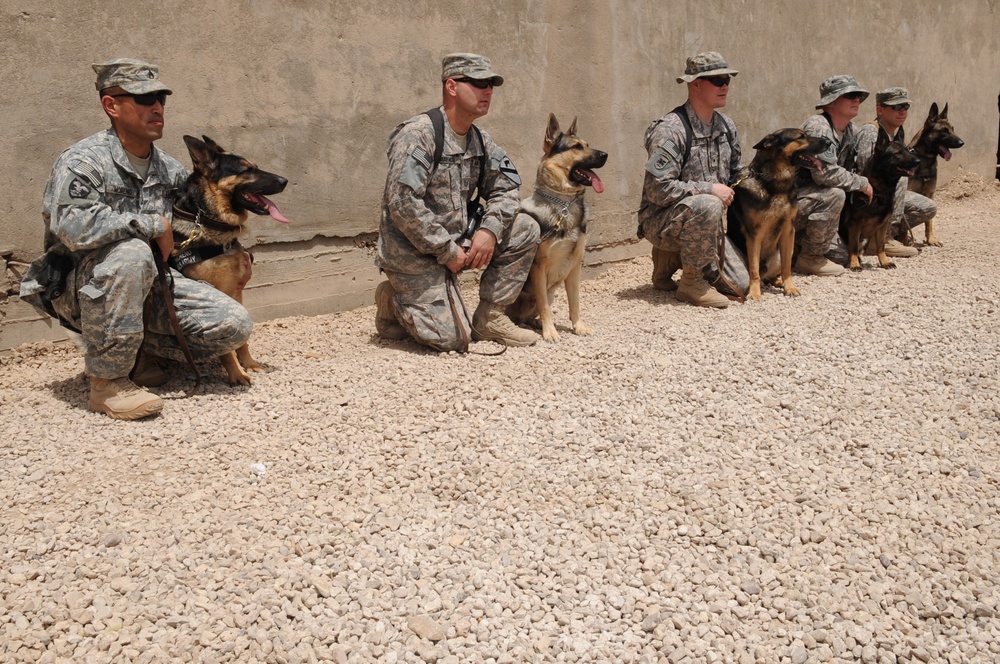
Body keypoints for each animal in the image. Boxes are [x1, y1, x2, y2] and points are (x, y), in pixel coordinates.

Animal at [171, 135, 290, 384]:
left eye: (255, 166)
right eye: (246, 170)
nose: (285, 180)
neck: (207, 220)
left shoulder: (237, 293)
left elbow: (243, 340)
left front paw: (250, 364)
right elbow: (227, 347)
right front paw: (236, 373)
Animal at [508, 113, 608, 340]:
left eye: (587, 144)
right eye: (576, 147)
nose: (605, 154)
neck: (564, 204)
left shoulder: (575, 266)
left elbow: (575, 302)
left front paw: (579, 327)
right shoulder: (539, 267)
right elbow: (545, 306)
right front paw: (550, 332)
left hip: (551, 291)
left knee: (527, 316)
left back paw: (534, 323)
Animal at [724, 130, 832, 300]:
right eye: (800, 137)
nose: (829, 142)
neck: (776, 184)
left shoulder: (788, 231)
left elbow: (786, 267)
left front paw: (789, 287)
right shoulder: (754, 235)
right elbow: (754, 270)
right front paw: (755, 293)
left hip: (781, 254)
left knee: (773, 274)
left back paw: (778, 282)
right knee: (760, 273)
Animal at [840, 128, 916, 272]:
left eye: (907, 150)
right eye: (897, 153)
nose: (918, 161)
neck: (879, 191)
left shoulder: (882, 225)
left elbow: (881, 246)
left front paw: (884, 262)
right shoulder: (855, 224)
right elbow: (853, 247)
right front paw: (854, 264)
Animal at [908, 104, 960, 246]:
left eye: (953, 129)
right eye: (944, 131)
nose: (962, 142)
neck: (925, 158)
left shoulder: (930, 195)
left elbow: (929, 221)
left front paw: (930, 239)